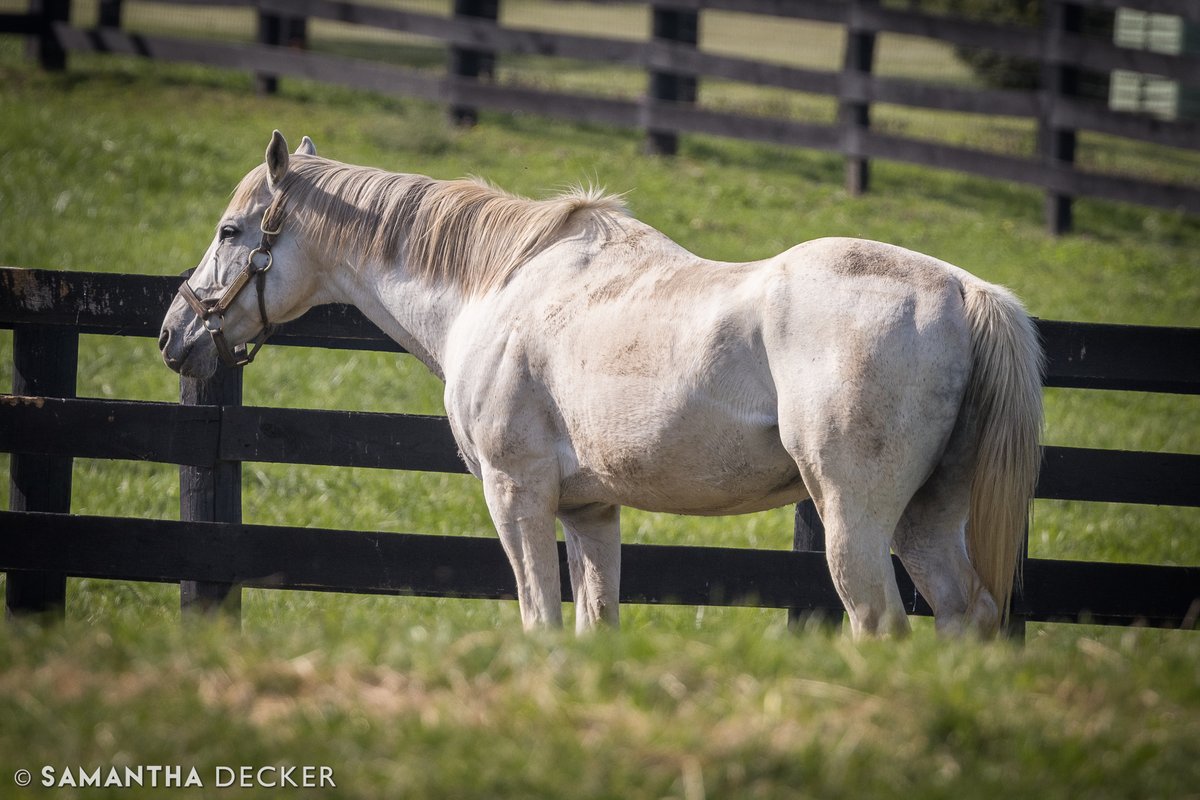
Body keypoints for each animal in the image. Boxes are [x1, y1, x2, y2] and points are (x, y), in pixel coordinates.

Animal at [159, 133, 1041, 638]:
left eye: (231, 230)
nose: (174, 335)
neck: (496, 286)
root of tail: (965, 292)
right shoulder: (590, 510)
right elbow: (593, 627)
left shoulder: (516, 494)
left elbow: (540, 624)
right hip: (928, 520)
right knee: (966, 616)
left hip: (853, 520)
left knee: (878, 622)